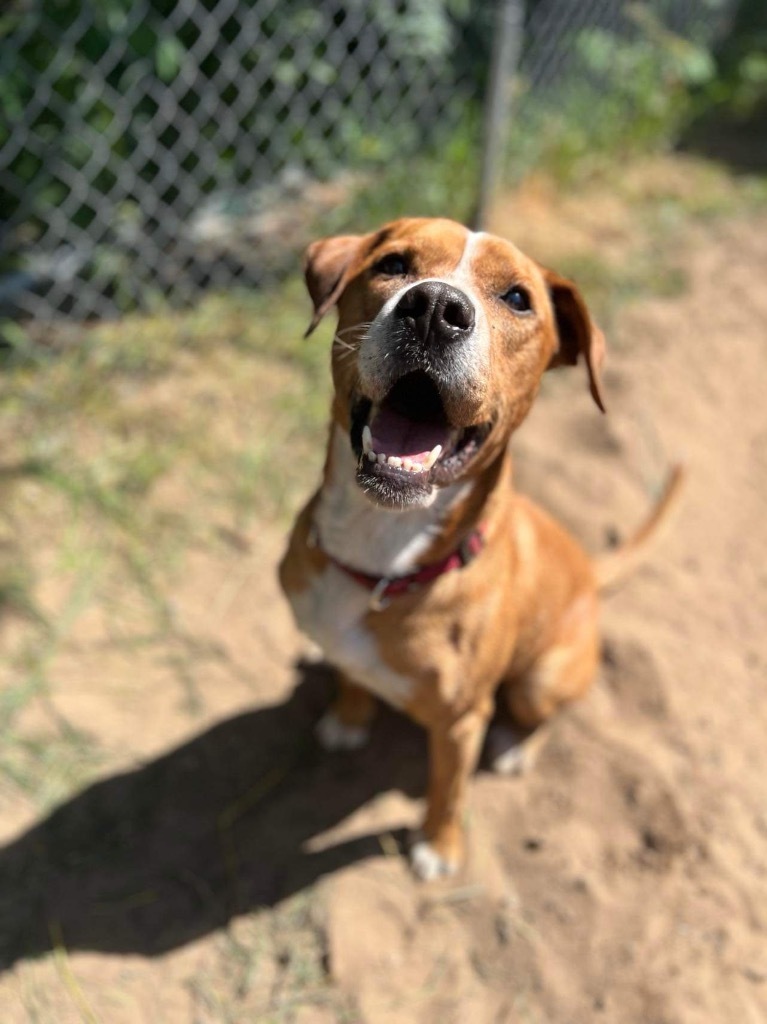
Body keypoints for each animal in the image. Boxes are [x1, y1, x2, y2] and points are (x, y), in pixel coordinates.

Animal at [278, 218, 679, 880]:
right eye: (393, 263)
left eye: (518, 298)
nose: (435, 309)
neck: (383, 553)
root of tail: (590, 574)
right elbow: (351, 675)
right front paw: (348, 715)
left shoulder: (462, 721)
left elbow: (447, 789)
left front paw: (439, 849)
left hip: (542, 678)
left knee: (546, 712)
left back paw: (518, 748)